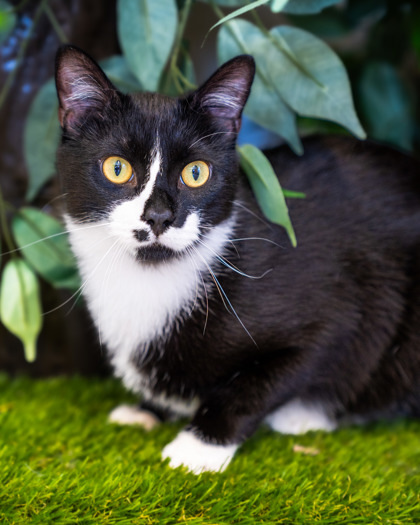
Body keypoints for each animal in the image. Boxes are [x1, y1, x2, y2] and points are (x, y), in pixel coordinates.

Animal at [55, 44, 420, 470]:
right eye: (117, 167)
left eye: (196, 173)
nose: (159, 216)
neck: (151, 275)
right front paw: (146, 410)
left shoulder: (343, 311)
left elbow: (266, 379)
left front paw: (198, 446)